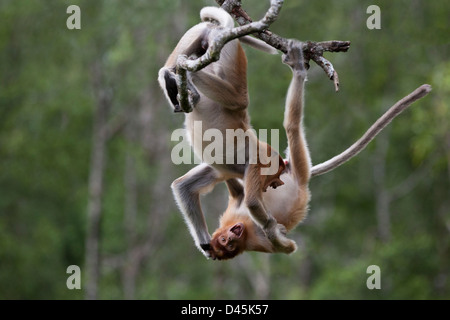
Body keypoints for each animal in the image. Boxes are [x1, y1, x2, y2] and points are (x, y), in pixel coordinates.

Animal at [157, 6, 310, 260]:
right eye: (276, 176)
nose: (276, 184)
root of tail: (220, 29)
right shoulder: (259, 161)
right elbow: (252, 203)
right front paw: (274, 230)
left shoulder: (220, 170)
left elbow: (183, 187)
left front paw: (206, 246)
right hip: (232, 57)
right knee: (238, 99)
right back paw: (185, 77)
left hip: (195, 38)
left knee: (176, 61)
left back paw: (173, 77)